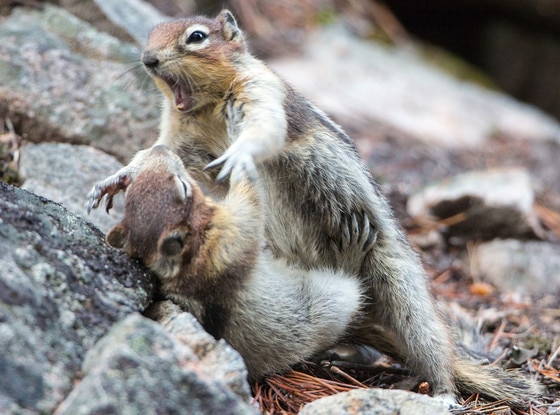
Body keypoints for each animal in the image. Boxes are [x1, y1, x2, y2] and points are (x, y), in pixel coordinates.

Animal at [104, 145, 366, 380]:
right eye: (183, 187)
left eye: (129, 195)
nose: (160, 148)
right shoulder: (231, 232)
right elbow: (250, 203)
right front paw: (241, 158)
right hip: (334, 299)